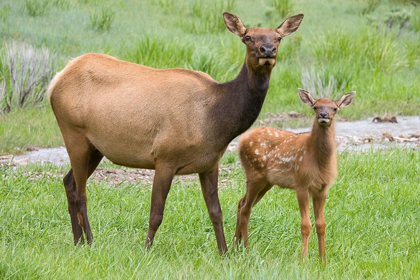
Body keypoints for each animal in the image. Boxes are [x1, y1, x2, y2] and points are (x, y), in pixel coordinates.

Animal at [49, 12, 304, 254]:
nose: (267, 50)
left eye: (278, 38)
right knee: (81, 192)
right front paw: (146, 251)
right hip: (74, 133)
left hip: (96, 147)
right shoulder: (165, 157)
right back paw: (90, 242)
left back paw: (78, 242)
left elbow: (216, 212)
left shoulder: (210, 163)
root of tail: (56, 80)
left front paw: (224, 253)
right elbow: (156, 214)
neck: (216, 122)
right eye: (248, 37)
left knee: (68, 182)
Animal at [235, 88, 356, 260]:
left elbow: (321, 224)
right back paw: (246, 249)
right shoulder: (301, 184)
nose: (323, 115)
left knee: (241, 203)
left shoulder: (322, 188)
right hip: (254, 173)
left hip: (266, 182)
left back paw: (235, 246)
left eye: (335, 108)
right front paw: (304, 259)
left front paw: (323, 259)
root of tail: (241, 141)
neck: (318, 160)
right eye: (315, 107)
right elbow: (306, 224)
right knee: (246, 209)